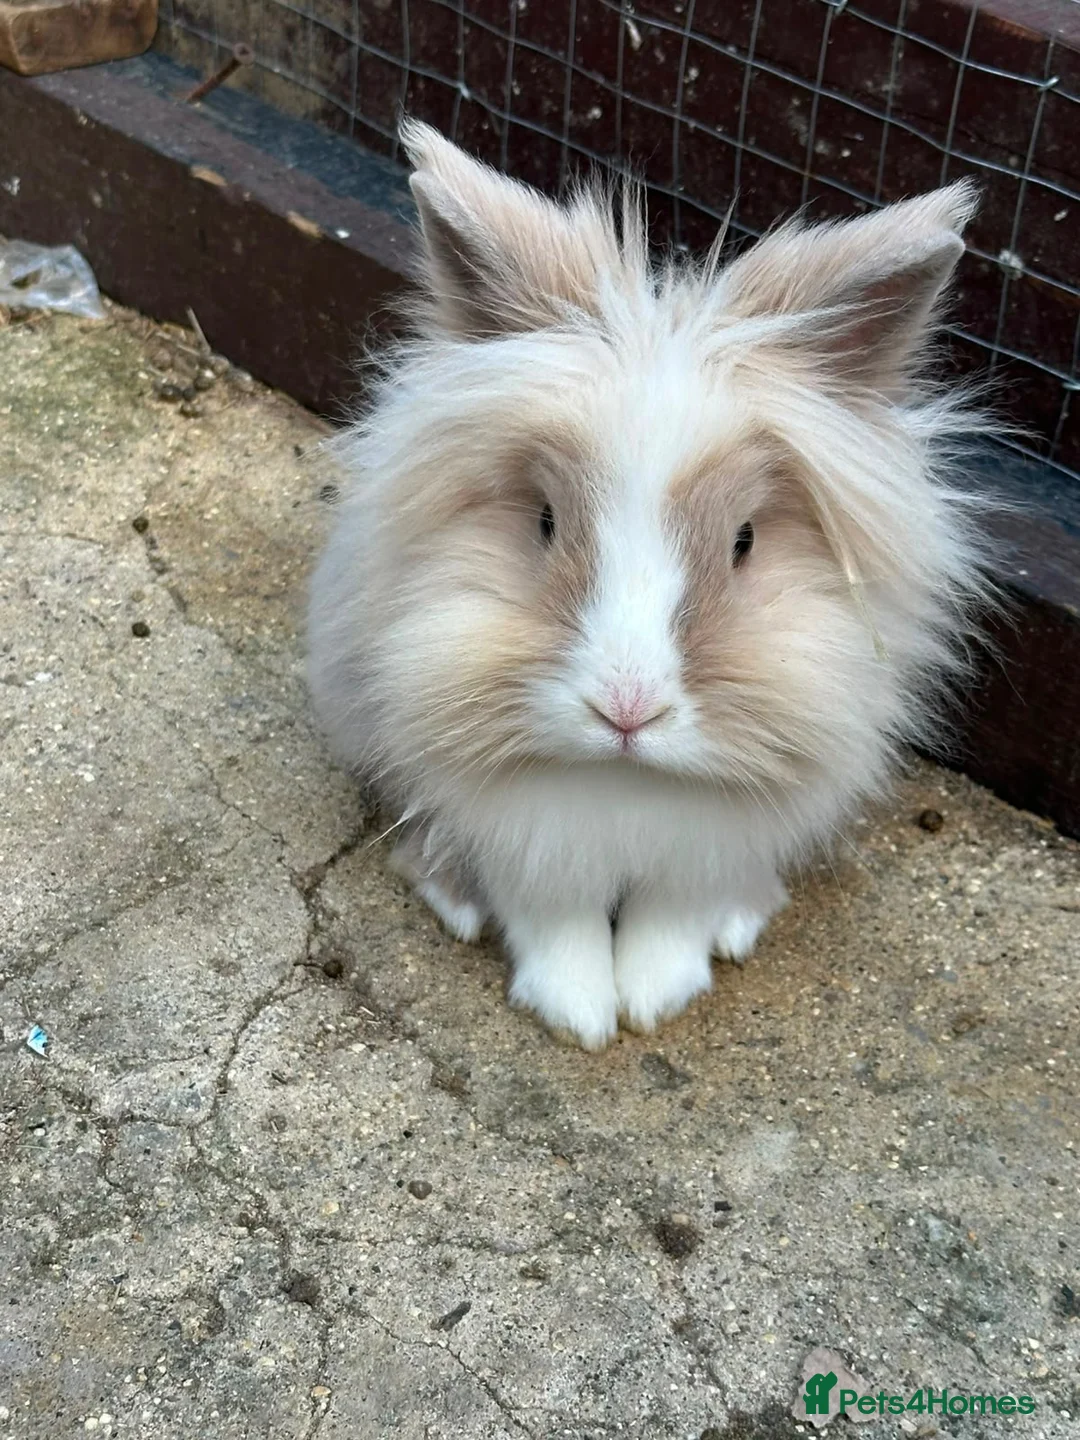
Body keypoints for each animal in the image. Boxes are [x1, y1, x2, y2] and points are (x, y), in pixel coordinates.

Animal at [307, 118, 992, 1051]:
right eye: (545, 521)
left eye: (744, 540)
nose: (626, 711)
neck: (624, 787)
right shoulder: (523, 833)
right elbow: (552, 920)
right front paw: (581, 1014)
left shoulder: (712, 841)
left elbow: (676, 916)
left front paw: (654, 996)